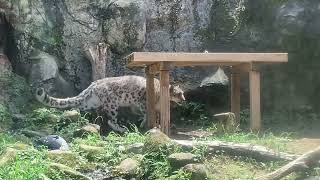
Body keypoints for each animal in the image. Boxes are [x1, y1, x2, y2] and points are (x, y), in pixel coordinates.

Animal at [35, 75, 185, 133]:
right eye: (178, 94)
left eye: (183, 93)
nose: (184, 99)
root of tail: (93, 84)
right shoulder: (143, 103)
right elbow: (147, 113)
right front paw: (146, 123)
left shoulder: (137, 106)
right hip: (112, 105)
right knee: (111, 120)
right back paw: (122, 129)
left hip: (91, 102)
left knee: (78, 104)